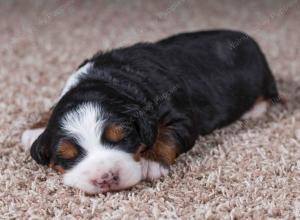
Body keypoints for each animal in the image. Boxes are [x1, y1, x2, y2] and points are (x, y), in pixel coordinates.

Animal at [22, 29, 280, 192]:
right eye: (68, 156)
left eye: (123, 139)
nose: (106, 178)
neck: (106, 79)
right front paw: (36, 128)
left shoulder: (181, 116)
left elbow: (167, 134)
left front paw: (151, 162)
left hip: (262, 79)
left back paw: (253, 110)